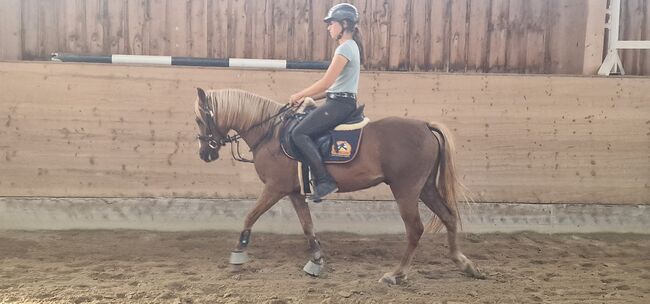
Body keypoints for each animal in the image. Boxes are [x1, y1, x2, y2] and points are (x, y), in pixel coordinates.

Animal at [192, 88, 480, 284]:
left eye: (199, 119)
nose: (205, 153)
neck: (270, 133)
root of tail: (425, 126)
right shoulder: (295, 193)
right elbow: (307, 227)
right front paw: (317, 261)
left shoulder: (274, 188)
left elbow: (250, 216)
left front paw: (238, 255)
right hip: (425, 188)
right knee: (449, 217)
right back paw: (464, 264)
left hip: (406, 191)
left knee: (415, 229)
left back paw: (397, 274)